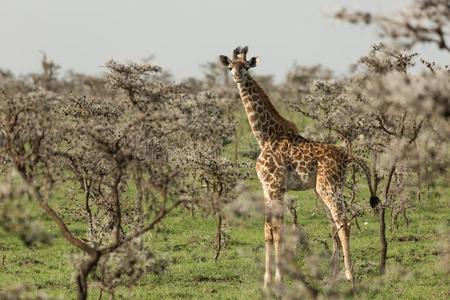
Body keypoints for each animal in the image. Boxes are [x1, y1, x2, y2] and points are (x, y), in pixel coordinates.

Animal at [219, 47, 380, 288]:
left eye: (246, 66)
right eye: (231, 66)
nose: (237, 76)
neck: (265, 137)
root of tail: (346, 156)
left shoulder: (276, 186)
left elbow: (278, 230)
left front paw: (279, 279)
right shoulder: (266, 188)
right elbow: (267, 230)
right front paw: (266, 281)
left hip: (328, 187)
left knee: (344, 223)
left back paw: (349, 277)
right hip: (322, 189)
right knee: (334, 225)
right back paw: (332, 275)